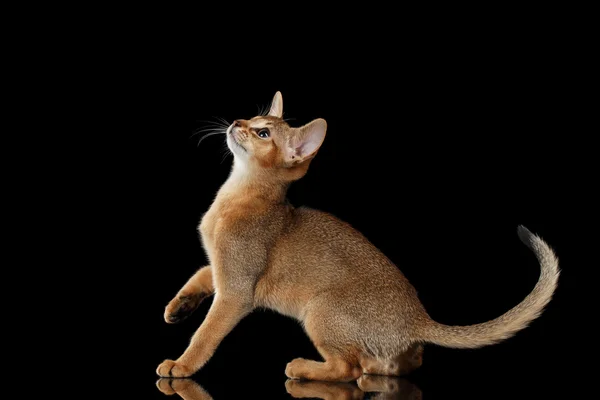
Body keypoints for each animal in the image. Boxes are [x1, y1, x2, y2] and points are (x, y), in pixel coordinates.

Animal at [157, 91, 560, 382]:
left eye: (263, 133)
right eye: (251, 118)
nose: (237, 122)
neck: (234, 198)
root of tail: (419, 319)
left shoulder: (237, 289)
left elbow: (207, 333)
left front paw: (182, 365)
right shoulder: (220, 266)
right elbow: (199, 275)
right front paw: (177, 307)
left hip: (320, 310)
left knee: (346, 370)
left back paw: (303, 368)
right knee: (396, 364)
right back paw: (379, 367)